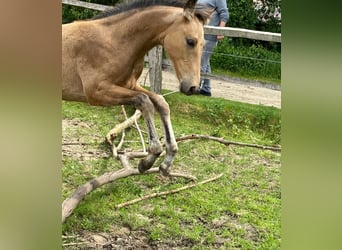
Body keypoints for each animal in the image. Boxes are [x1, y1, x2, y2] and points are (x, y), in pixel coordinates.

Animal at [61, 0, 211, 175]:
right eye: (190, 41)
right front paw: (149, 158)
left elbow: (160, 101)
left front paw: (168, 159)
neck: (115, 41)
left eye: (203, 44)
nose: (193, 87)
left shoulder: (130, 84)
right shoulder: (96, 92)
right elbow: (144, 101)